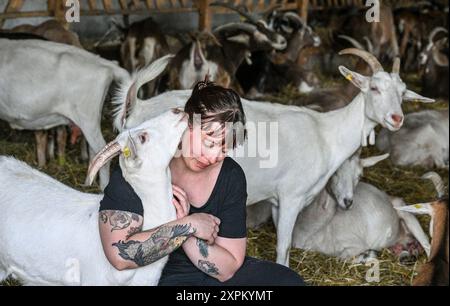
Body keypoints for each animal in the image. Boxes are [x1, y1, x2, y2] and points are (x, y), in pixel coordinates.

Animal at [0, 38, 130, 189]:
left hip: (87, 118)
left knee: (101, 150)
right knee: (94, 151)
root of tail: (105, 64)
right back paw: (87, 183)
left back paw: (102, 188)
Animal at [111, 50, 432, 266]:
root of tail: (137, 107)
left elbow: (284, 245)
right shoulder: (292, 197)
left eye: (403, 93)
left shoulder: (278, 201)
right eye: (374, 88)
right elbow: (283, 246)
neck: (327, 134)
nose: (396, 118)